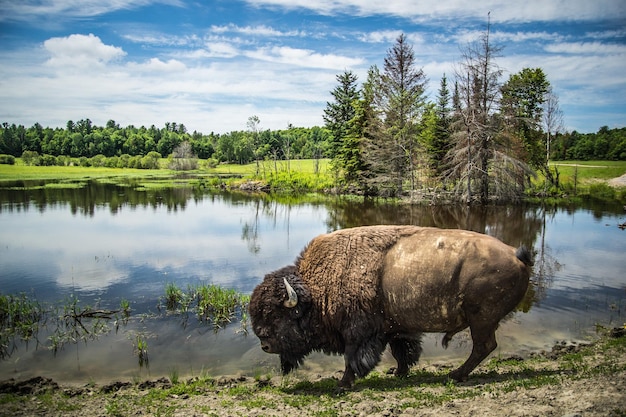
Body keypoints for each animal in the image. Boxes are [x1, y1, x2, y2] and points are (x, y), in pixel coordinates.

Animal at [246, 224, 528, 386]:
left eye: (276, 314)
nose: (264, 344)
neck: (318, 289)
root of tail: (516, 254)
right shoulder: (395, 329)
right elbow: (403, 351)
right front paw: (398, 372)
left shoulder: (358, 334)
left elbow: (352, 359)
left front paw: (343, 385)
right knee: (485, 347)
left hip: (481, 319)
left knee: (483, 346)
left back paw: (456, 375)